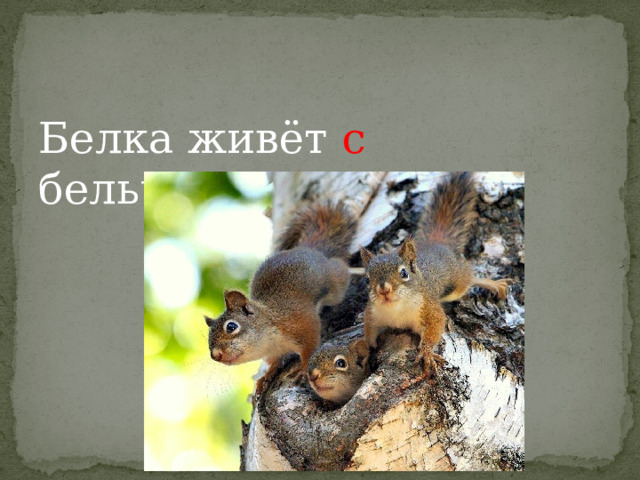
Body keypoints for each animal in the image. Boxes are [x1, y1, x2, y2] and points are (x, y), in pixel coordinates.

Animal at [205, 202, 357, 393]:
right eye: (208, 335)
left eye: (231, 327)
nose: (215, 355)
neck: (267, 339)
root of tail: (307, 248)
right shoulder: (273, 352)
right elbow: (275, 363)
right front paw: (267, 376)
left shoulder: (303, 323)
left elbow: (309, 348)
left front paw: (302, 369)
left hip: (334, 285)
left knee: (340, 268)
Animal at [360, 172, 510, 374]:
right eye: (367, 279)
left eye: (404, 273)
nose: (383, 290)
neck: (396, 309)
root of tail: (436, 243)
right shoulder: (373, 315)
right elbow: (369, 335)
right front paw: (367, 353)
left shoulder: (429, 308)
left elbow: (435, 328)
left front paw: (426, 353)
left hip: (457, 281)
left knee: (470, 278)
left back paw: (493, 284)